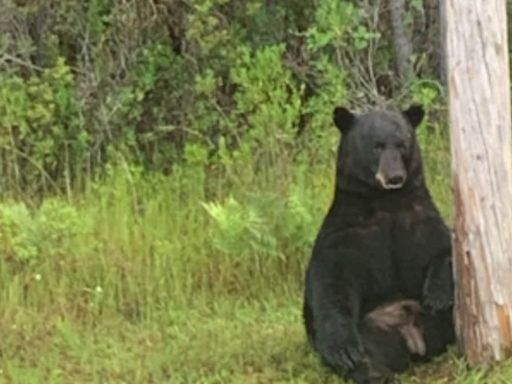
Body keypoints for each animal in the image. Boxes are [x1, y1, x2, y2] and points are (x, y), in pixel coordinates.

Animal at [302, 106, 454, 384]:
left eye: (402, 144)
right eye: (376, 146)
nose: (395, 177)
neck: (386, 201)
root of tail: (412, 337)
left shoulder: (420, 220)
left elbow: (445, 247)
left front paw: (437, 295)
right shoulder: (346, 233)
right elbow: (331, 281)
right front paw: (342, 349)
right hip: (370, 329)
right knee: (366, 354)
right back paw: (375, 372)